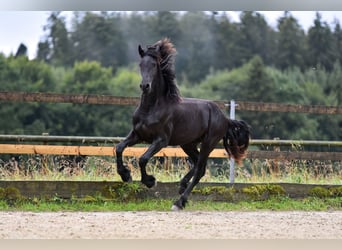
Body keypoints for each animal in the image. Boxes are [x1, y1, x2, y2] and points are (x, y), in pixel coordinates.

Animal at [116, 38, 250, 211]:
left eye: (154, 65)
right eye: (140, 64)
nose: (145, 86)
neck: (151, 108)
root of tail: (225, 118)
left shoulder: (161, 140)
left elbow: (143, 158)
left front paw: (150, 181)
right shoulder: (138, 135)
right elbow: (119, 147)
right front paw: (125, 175)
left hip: (209, 143)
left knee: (200, 169)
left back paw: (179, 202)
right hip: (188, 144)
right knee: (198, 163)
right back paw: (181, 186)